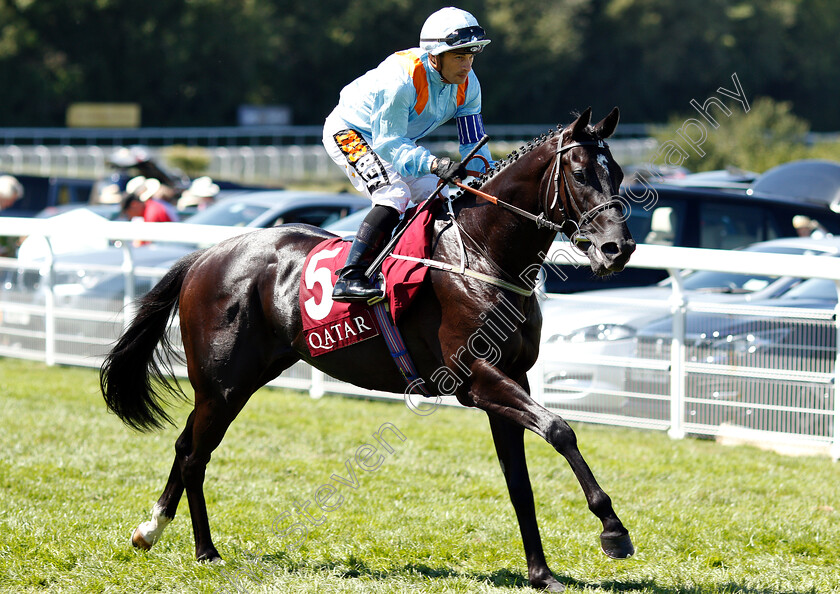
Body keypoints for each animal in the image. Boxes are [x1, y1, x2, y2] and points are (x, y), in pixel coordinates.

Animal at [98, 106, 636, 588]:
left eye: (618, 173)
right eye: (581, 173)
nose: (619, 248)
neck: (484, 255)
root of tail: (206, 255)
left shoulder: (511, 379)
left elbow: (520, 482)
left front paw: (541, 573)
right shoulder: (477, 379)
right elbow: (561, 429)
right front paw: (613, 530)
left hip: (236, 381)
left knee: (186, 443)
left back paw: (150, 529)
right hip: (223, 383)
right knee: (195, 455)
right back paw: (206, 551)